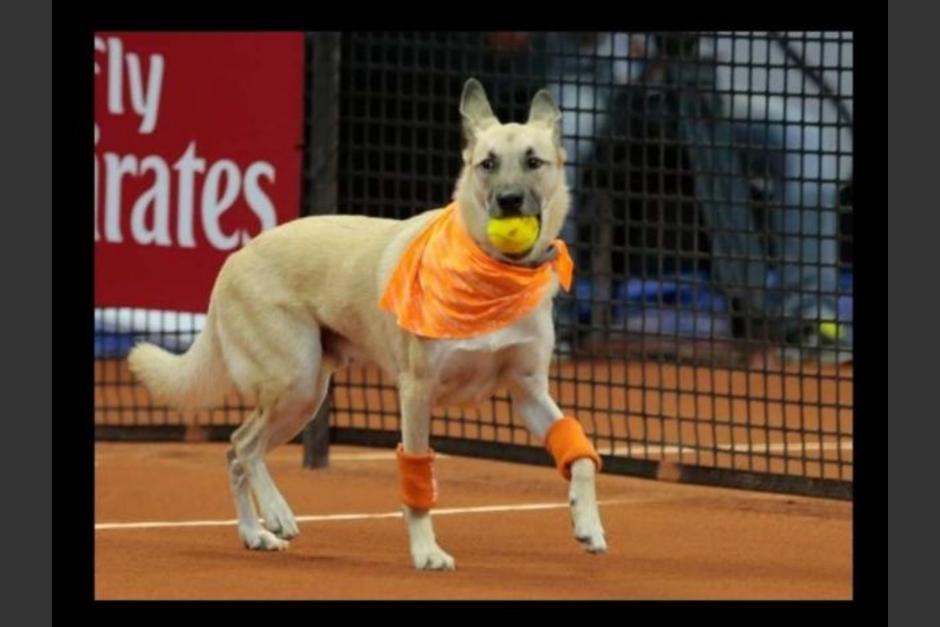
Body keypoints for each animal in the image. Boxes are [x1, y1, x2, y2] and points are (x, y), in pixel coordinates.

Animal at [126, 77, 608, 568]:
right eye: (487, 164)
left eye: (533, 161)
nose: (509, 202)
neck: (494, 278)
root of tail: (232, 260)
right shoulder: (416, 391)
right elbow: (417, 478)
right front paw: (426, 552)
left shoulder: (528, 392)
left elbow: (580, 455)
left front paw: (587, 524)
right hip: (296, 381)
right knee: (245, 447)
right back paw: (276, 514)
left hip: (304, 399)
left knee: (235, 450)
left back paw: (254, 533)